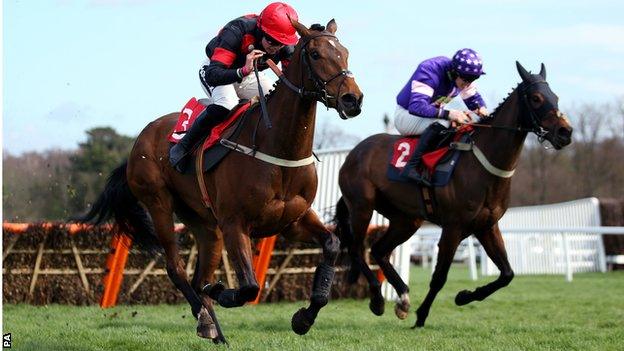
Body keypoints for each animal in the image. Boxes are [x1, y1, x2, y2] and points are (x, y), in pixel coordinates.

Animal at [79, 19, 360, 344]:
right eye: (315, 54)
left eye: (345, 52)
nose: (353, 99)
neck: (277, 146)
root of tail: (141, 140)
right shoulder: (235, 224)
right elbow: (249, 287)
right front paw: (221, 291)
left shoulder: (293, 221)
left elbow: (331, 244)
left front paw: (303, 318)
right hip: (159, 204)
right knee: (176, 268)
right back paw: (205, 319)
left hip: (205, 224)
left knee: (198, 276)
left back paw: (216, 332)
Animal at [334, 62, 572, 328]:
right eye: (536, 98)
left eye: (555, 97)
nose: (565, 132)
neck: (482, 165)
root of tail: (354, 153)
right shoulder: (453, 228)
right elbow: (439, 277)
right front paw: (421, 316)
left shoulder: (487, 226)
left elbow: (507, 274)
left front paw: (465, 296)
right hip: (362, 207)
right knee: (356, 249)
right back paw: (377, 299)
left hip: (407, 219)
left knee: (378, 250)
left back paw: (403, 298)